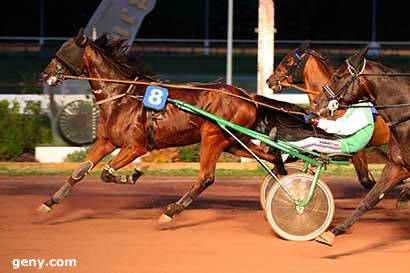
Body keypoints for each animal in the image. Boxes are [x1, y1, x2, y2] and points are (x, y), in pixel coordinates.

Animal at [40, 29, 334, 221]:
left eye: (64, 50)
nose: (45, 74)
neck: (122, 96)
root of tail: (246, 95)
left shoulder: (135, 146)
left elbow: (107, 173)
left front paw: (133, 175)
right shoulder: (106, 142)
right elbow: (80, 172)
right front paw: (49, 202)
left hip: (213, 136)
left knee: (205, 177)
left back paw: (172, 211)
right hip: (233, 141)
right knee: (272, 156)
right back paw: (285, 185)